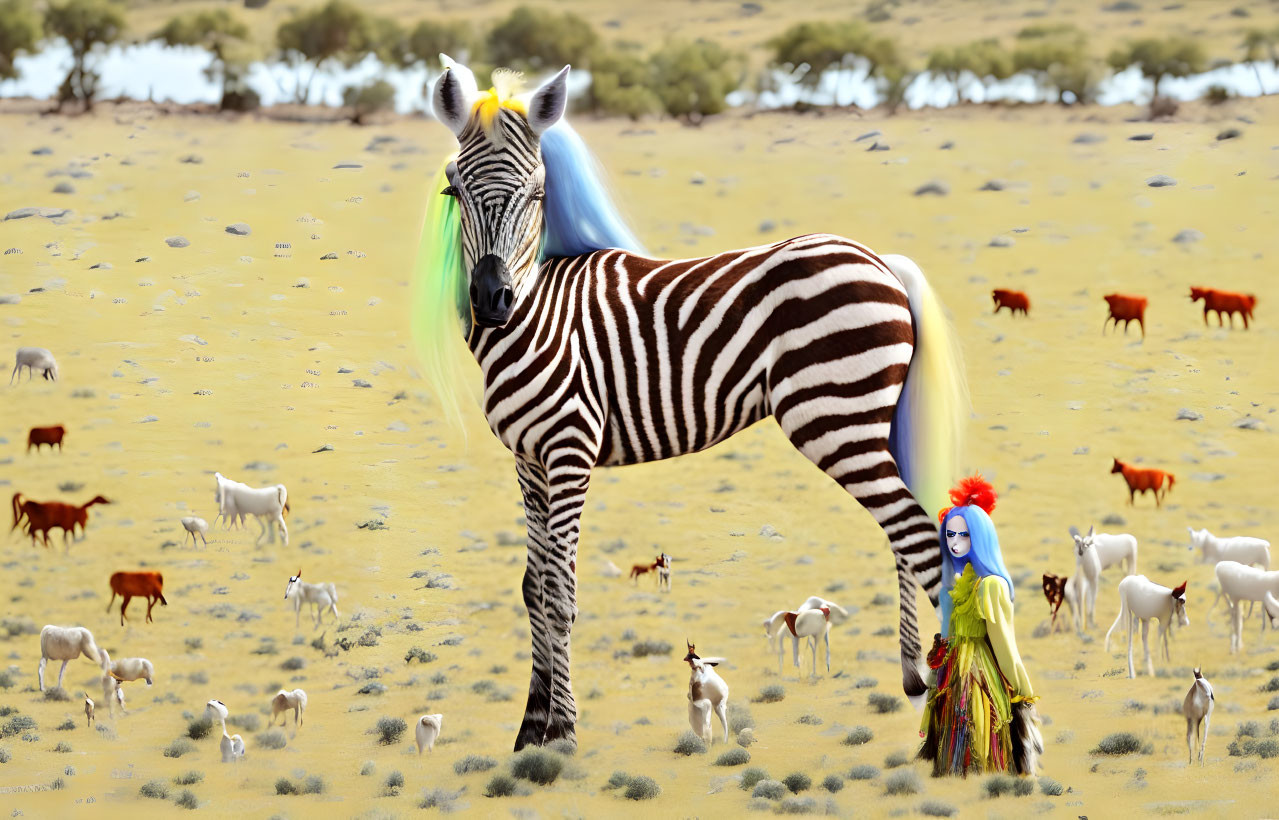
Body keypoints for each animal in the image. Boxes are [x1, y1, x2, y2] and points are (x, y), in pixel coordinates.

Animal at [422, 59, 966, 747]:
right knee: (908, 536)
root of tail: (880, 260)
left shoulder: (570, 449)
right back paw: (917, 677)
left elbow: (560, 593)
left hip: (834, 419)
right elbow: (531, 588)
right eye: (453, 191)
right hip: (867, 423)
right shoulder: (528, 460)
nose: (492, 301)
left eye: (539, 194)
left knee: (922, 542)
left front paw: (563, 733)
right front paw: (531, 728)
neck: (538, 315)